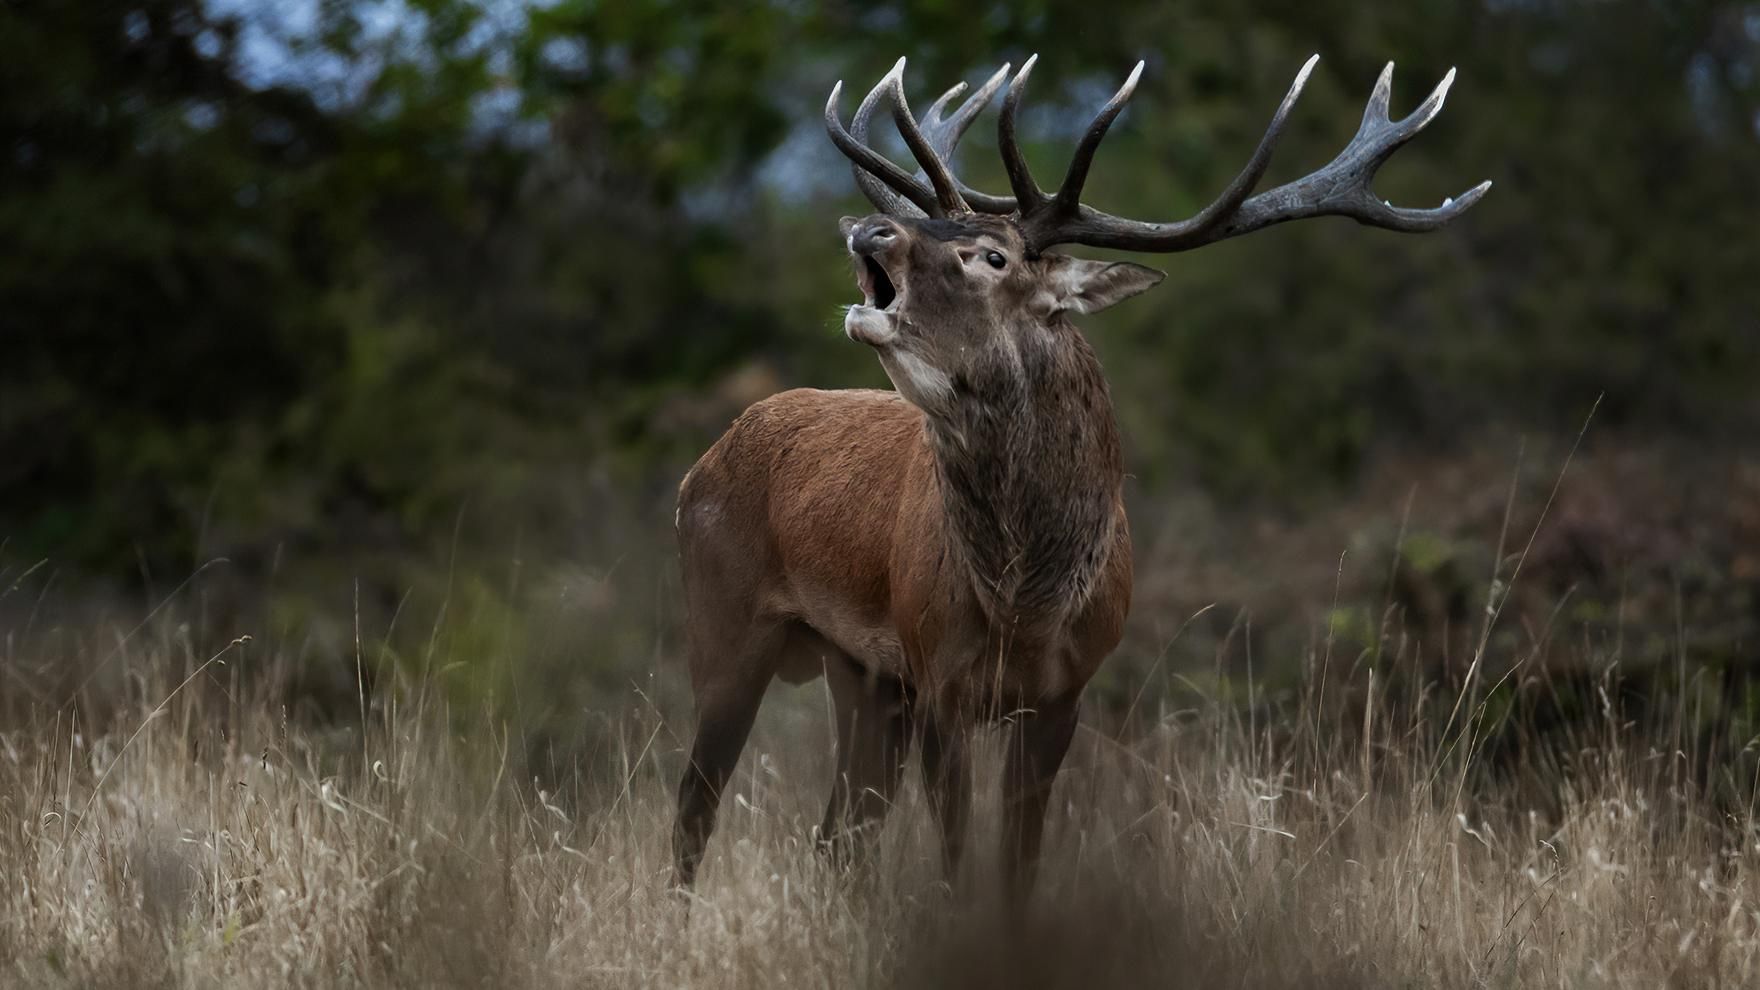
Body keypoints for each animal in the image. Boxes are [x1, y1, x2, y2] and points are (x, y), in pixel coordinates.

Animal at [671, 52, 1488, 893]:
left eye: (992, 254)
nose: (869, 227)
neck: (1025, 608)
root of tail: (701, 465)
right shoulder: (940, 682)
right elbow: (959, 858)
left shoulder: (1062, 695)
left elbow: (1017, 864)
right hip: (725, 623)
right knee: (696, 809)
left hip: (860, 675)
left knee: (834, 835)